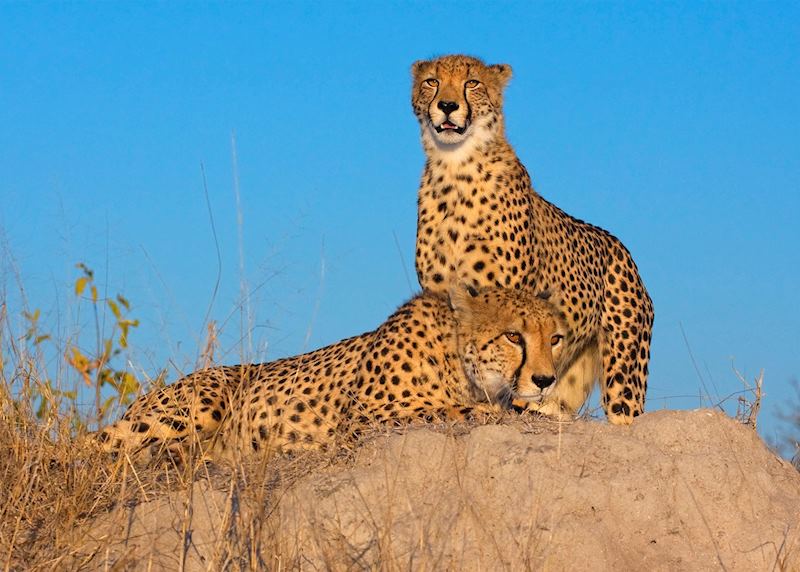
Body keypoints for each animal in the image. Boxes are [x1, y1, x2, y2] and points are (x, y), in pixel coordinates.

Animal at [96, 285, 569, 461]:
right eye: (513, 336)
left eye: (556, 339)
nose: (545, 380)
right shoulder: (363, 419)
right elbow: (447, 410)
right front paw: (488, 412)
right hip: (198, 406)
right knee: (97, 446)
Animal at [411, 54, 654, 425]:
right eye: (432, 82)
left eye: (472, 83)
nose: (448, 106)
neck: (455, 169)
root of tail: (622, 249)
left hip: (623, 378)